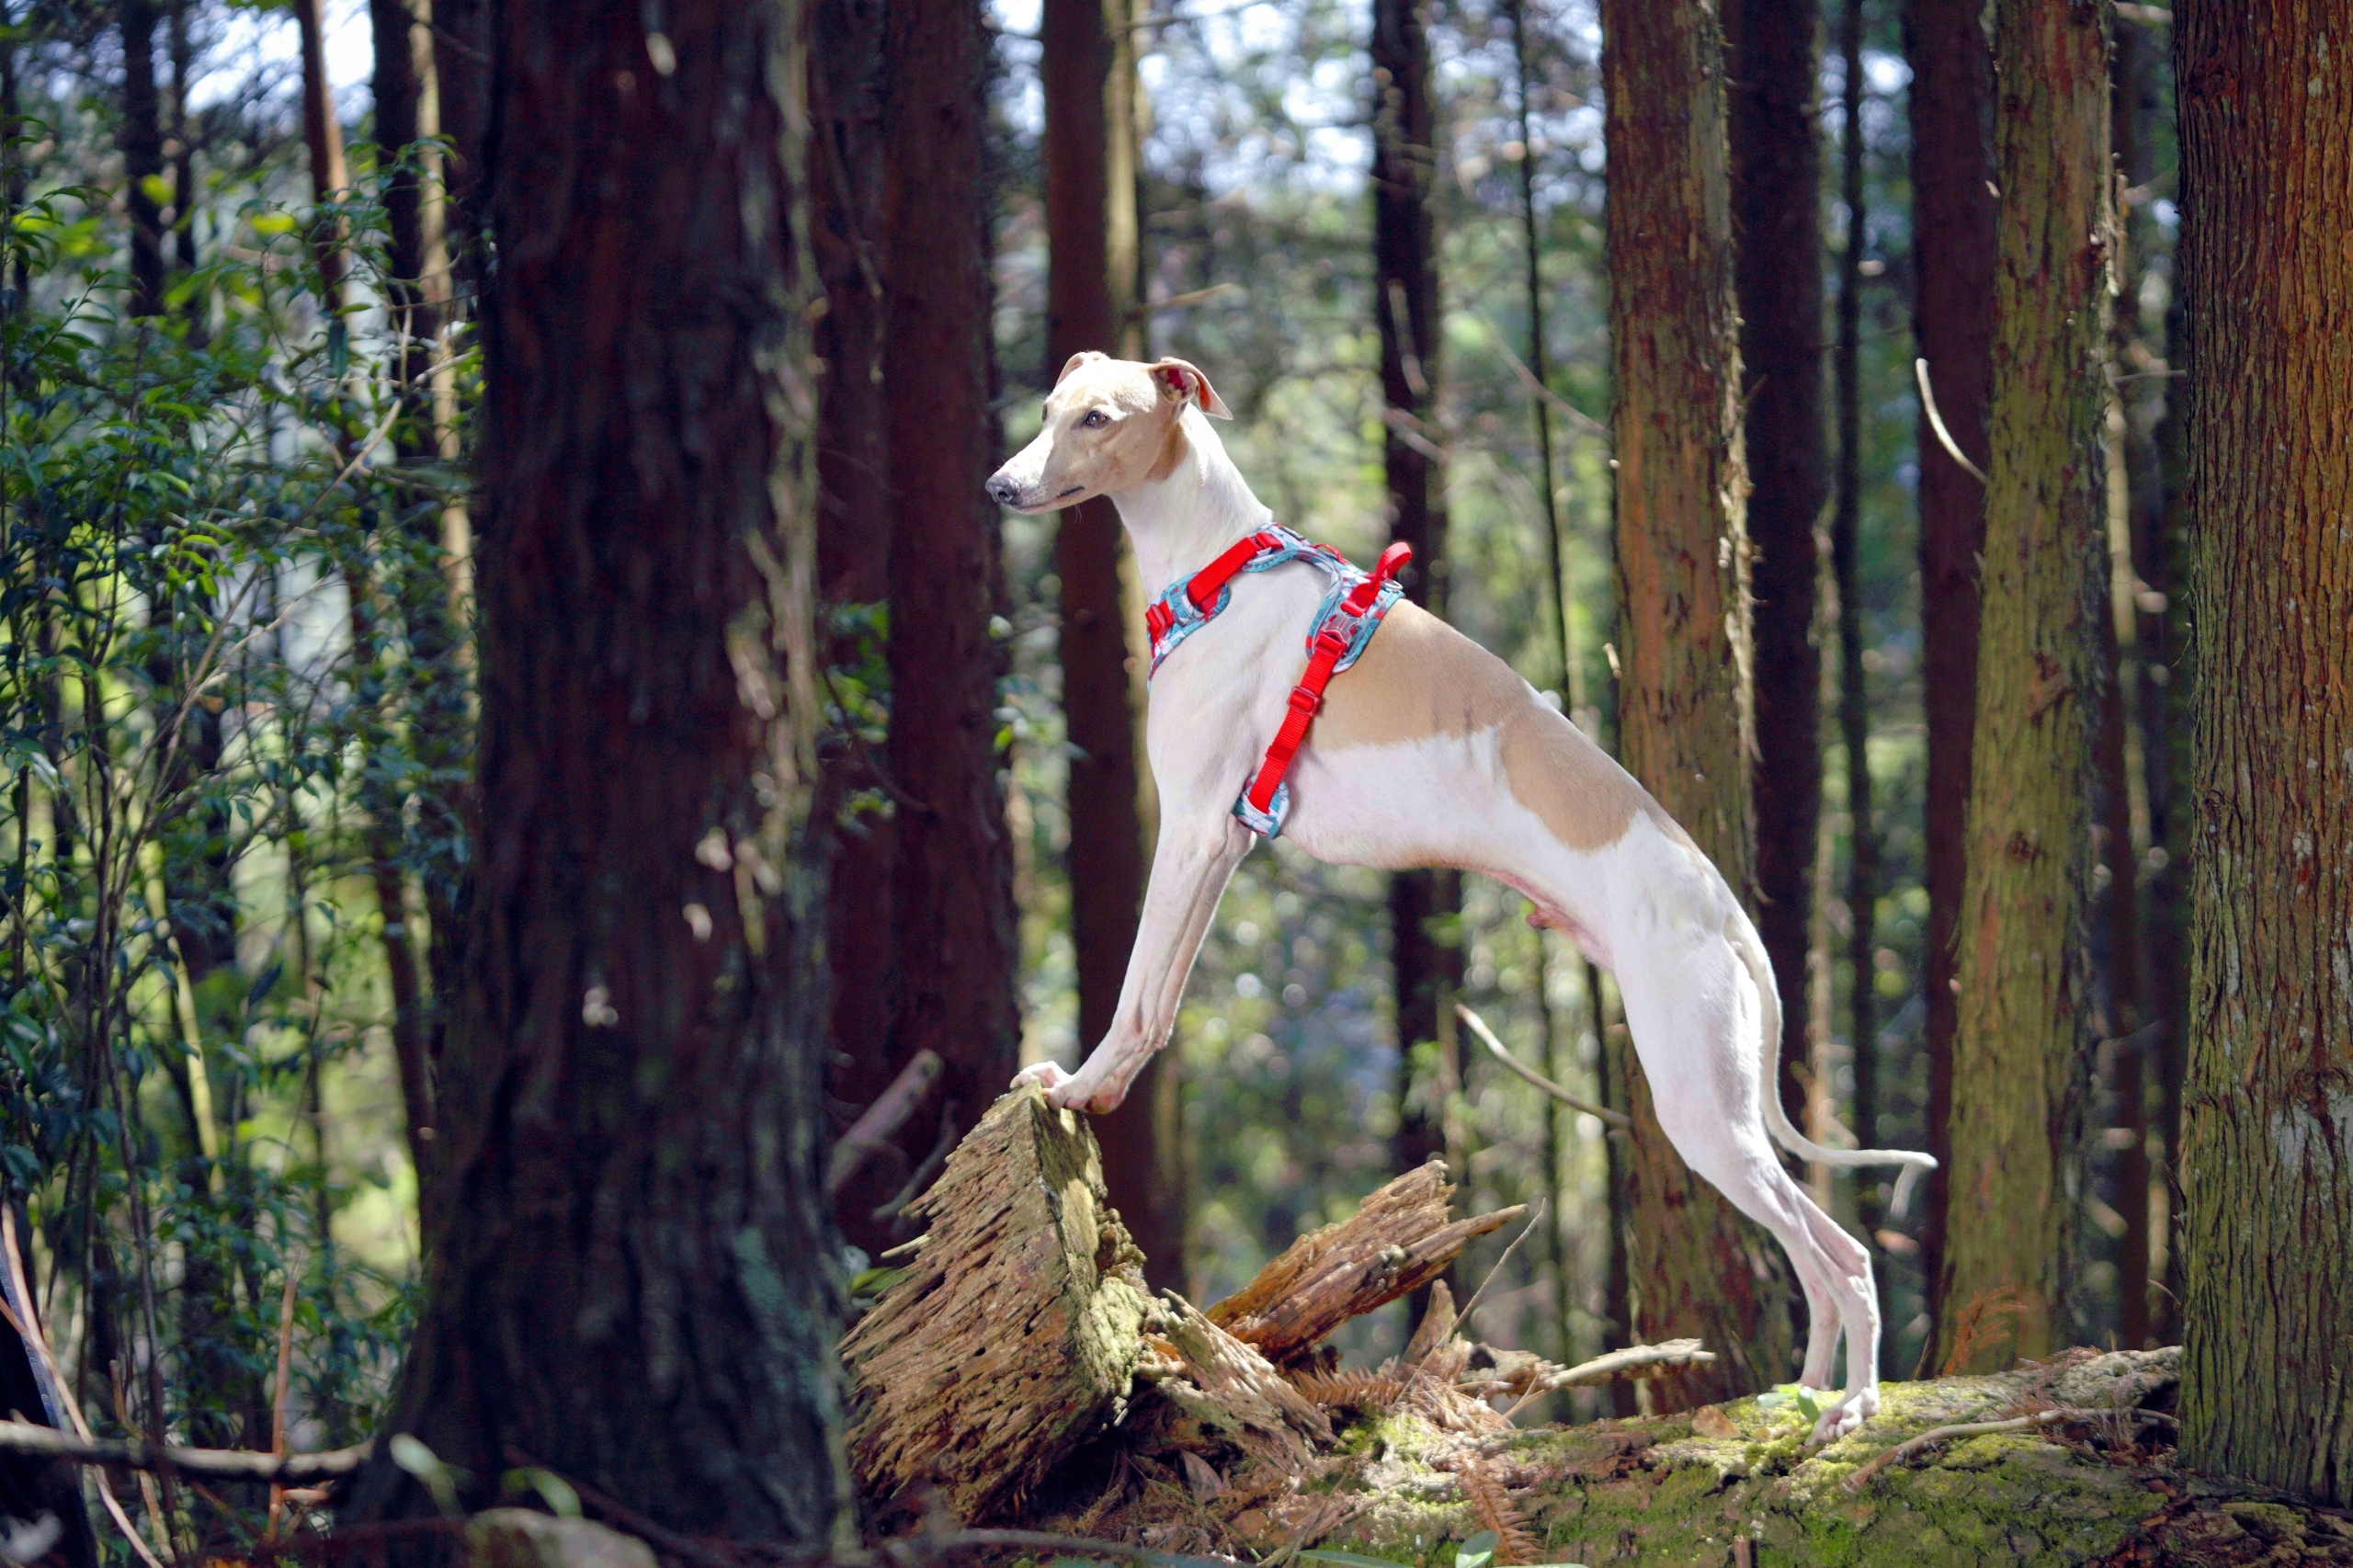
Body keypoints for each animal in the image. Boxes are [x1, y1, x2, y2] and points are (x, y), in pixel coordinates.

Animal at [986, 351, 1935, 1443]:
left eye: (1099, 419)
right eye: (1048, 409)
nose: (1000, 487)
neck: (1221, 571)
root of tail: (1732, 920)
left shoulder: (1192, 831)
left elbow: (1139, 998)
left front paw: (1077, 1086)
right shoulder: (1218, 844)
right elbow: (1162, 1003)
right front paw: (1094, 1088)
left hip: (1702, 1104)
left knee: (1845, 1256)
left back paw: (1856, 1402)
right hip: (1719, 1103)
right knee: (1817, 1259)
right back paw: (1803, 1391)